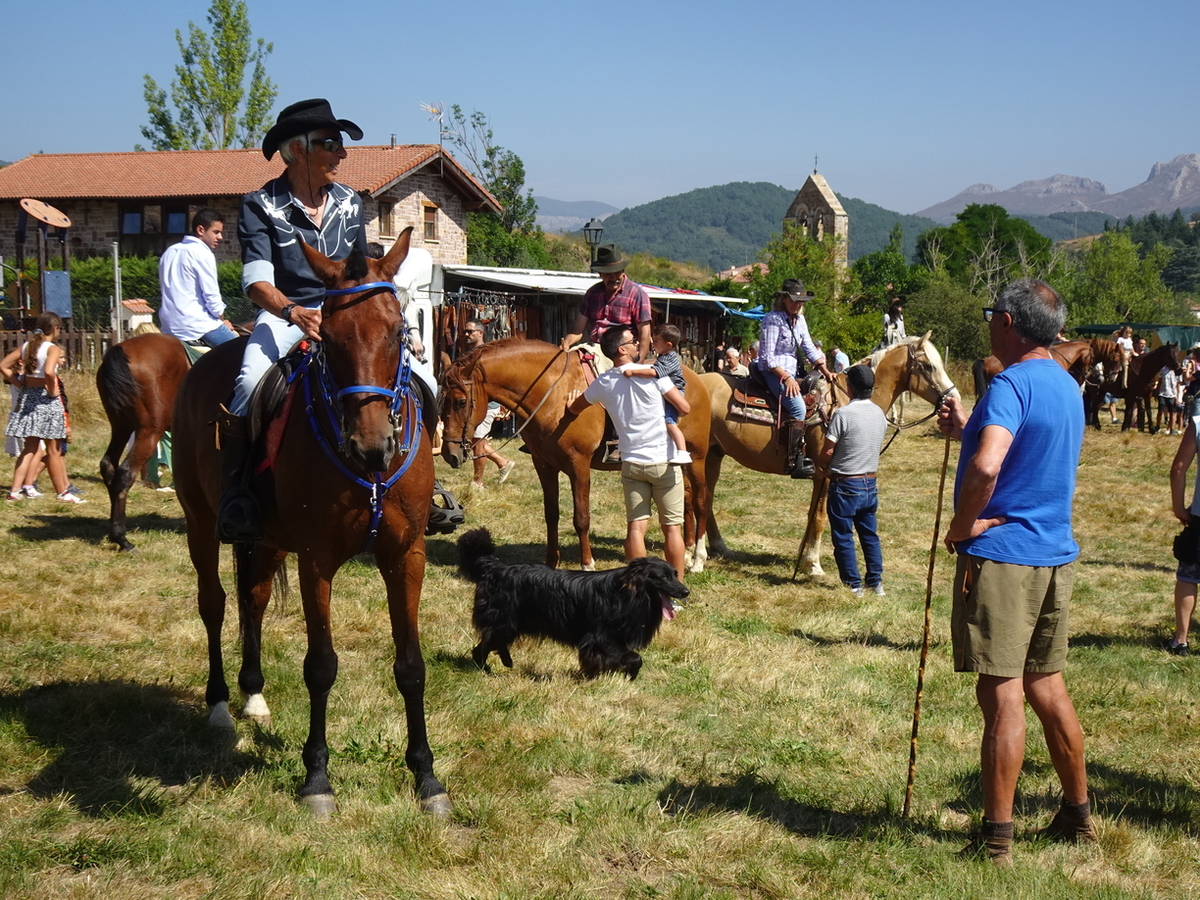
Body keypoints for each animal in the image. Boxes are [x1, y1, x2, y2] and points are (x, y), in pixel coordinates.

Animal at [170, 229, 451, 820]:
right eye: (331, 337)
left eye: (398, 332)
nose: (372, 446)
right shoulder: (315, 560)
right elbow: (320, 665)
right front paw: (317, 778)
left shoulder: (405, 556)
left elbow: (411, 666)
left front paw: (426, 777)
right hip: (200, 523)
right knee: (214, 604)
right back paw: (219, 705)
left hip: (269, 540)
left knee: (252, 599)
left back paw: (253, 694)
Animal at [439, 340, 710, 573]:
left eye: (461, 402)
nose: (449, 454)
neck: (554, 395)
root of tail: (696, 379)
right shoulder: (544, 465)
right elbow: (551, 514)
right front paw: (551, 561)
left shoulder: (578, 465)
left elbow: (581, 517)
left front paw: (587, 563)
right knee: (686, 499)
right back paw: (686, 552)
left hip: (696, 459)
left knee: (699, 501)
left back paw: (698, 559)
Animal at [456, 528, 691, 676]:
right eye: (663, 577)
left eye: (675, 574)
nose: (686, 591)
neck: (627, 592)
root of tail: (494, 567)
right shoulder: (599, 639)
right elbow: (634, 658)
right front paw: (618, 675)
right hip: (504, 621)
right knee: (484, 646)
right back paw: (486, 669)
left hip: (509, 623)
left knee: (489, 644)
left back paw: (501, 663)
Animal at [700, 336, 960, 578]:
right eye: (928, 366)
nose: (953, 399)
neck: (847, 403)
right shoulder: (824, 473)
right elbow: (819, 517)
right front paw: (813, 565)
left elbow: (811, 515)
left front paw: (804, 557)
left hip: (714, 455)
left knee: (708, 499)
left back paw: (720, 547)